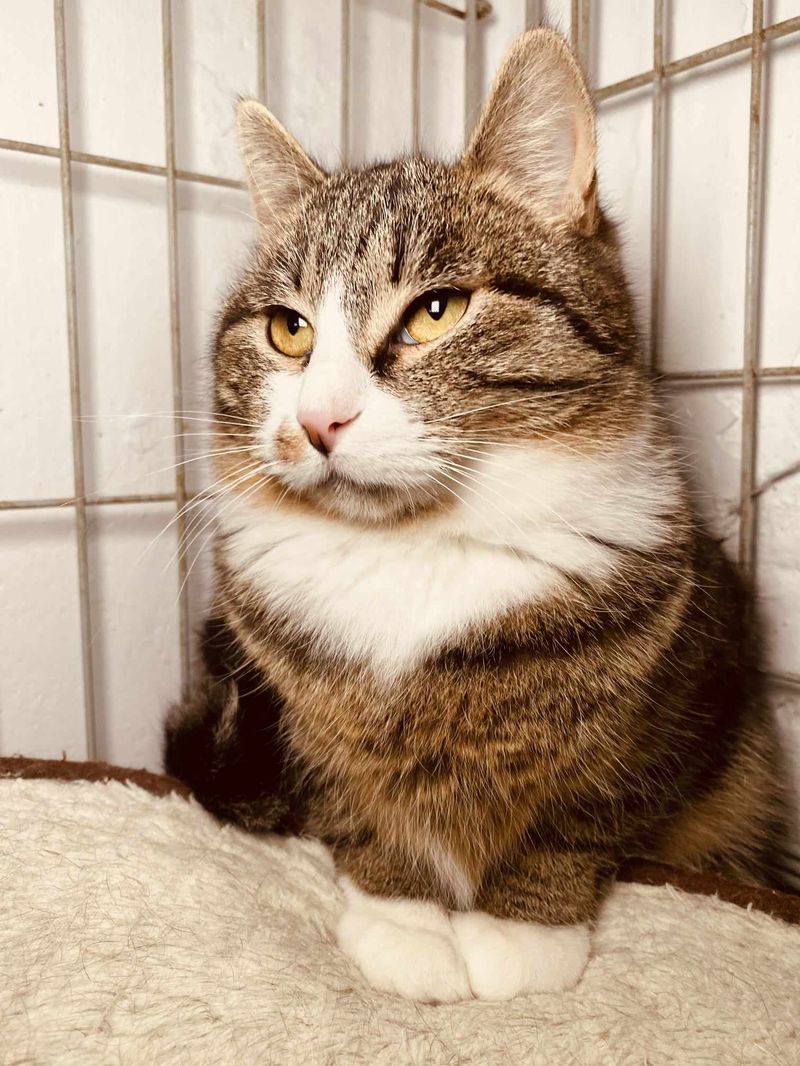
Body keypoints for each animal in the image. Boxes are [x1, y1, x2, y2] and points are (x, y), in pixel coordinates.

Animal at [164, 28, 785, 1003]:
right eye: (288, 330)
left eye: (436, 310)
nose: (318, 420)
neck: (413, 550)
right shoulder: (297, 719)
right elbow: (359, 812)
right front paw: (403, 916)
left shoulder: (674, 699)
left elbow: (579, 814)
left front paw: (522, 927)